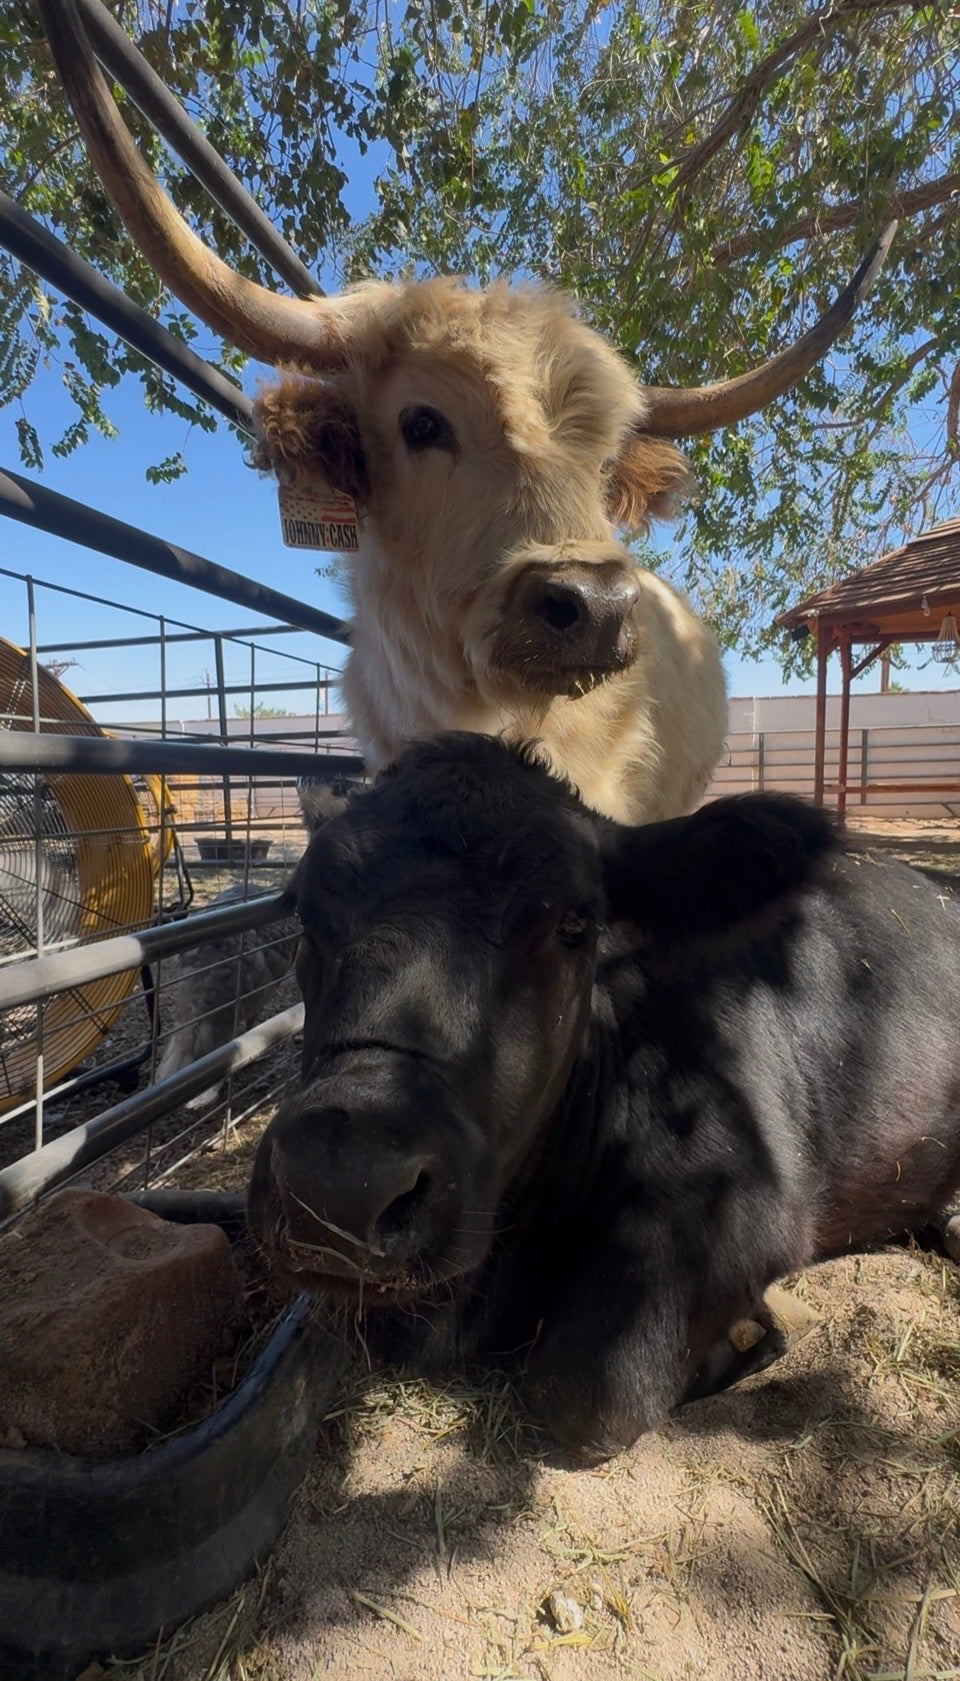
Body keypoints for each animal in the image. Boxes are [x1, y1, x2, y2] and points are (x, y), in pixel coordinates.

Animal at [248, 733, 960, 1463]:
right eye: (305, 914)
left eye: (574, 924)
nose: (340, 1181)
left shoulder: (744, 1208)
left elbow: (585, 1389)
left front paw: (744, 1336)